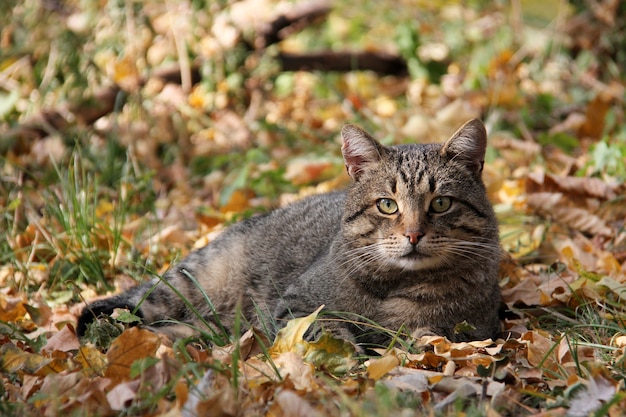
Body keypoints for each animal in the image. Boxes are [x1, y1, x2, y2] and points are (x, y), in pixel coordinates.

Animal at [75, 118, 500, 346]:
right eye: (387, 205)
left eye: (440, 203)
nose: (413, 234)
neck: (395, 286)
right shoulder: (296, 304)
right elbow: (326, 331)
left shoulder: (472, 329)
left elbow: (425, 334)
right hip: (190, 284)